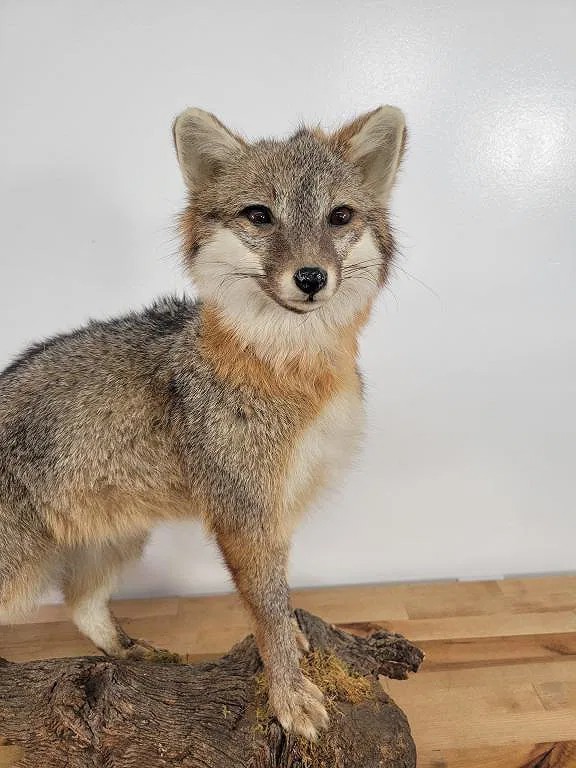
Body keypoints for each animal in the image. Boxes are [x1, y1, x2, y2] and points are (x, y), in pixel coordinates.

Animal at [0, 104, 406, 739]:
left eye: (339, 216)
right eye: (260, 215)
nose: (311, 277)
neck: (291, 369)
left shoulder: (279, 509)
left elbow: (280, 603)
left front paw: (295, 642)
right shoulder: (243, 515)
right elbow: (266, 612)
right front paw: (289, 694)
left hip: (118, 540)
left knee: (80, 604)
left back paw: (130, 652)